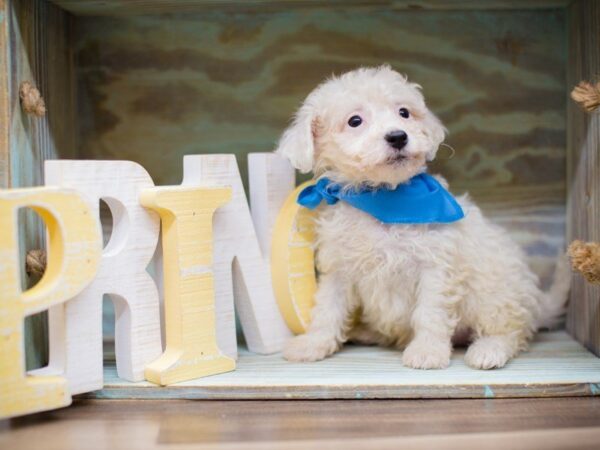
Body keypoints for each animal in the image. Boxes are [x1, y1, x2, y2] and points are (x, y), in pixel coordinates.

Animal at [274, 66, 568, 370]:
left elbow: (430, 313)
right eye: (355, 121)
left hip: (496, 294)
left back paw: (489, 349)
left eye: (404, 112)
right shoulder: (339, 269)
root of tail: (538, 304)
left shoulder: (435, 266)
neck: (382, 197)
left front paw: (428, 351)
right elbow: (327, 309)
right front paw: (313, 343)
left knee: (512, 331)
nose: (397, 136)